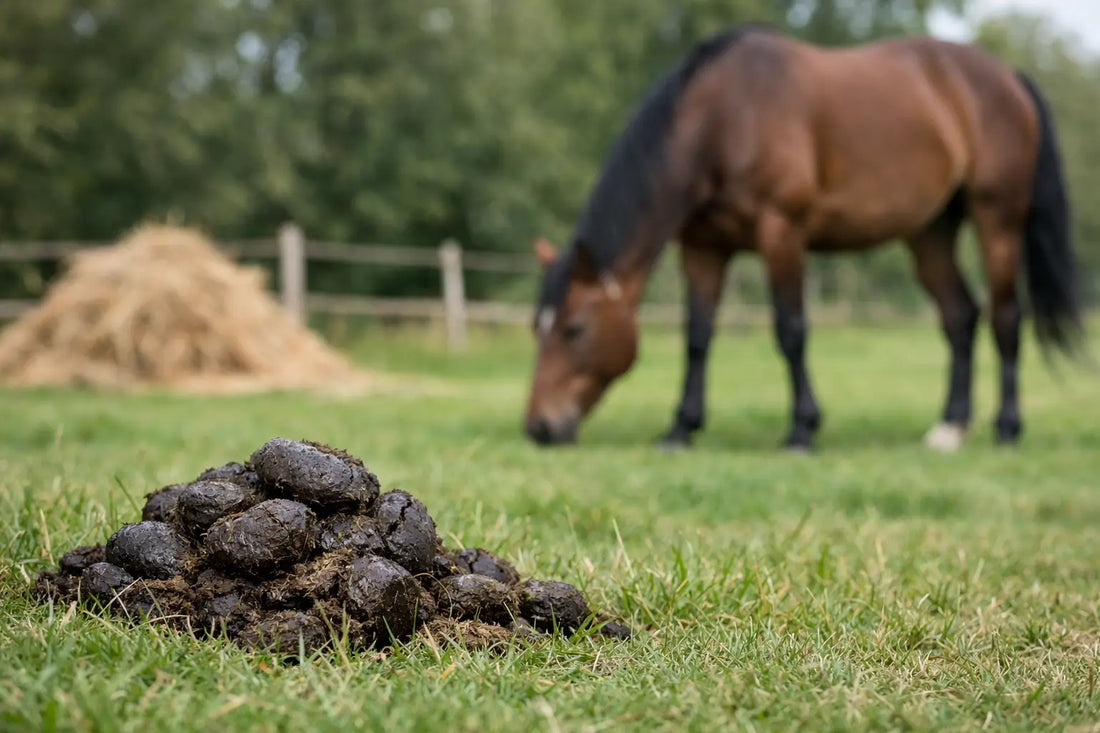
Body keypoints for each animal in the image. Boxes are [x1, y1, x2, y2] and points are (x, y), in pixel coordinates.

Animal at [524, 25, 1083, 452]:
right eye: (537, 329)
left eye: (573, 329)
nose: (539, 427)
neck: (724, 119)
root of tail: (1009, 77)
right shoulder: (704, 247)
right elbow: (697, 336)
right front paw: (681, 429)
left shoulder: (782, 234)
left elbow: (790, 330)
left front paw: (801, 430)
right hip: (930, 232)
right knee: (960, 317)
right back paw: (949, 428)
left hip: (997, 221)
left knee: (1006, 318)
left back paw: (1007, 428)